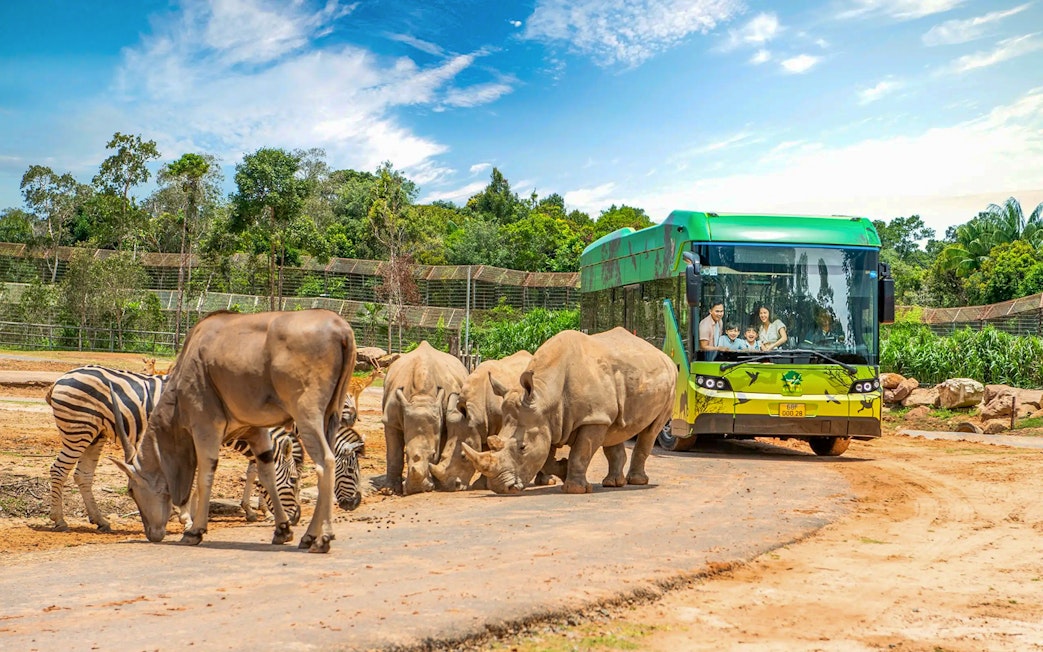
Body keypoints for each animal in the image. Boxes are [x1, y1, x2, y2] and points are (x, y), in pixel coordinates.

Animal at [45, 366, 299, 532]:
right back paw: (59, 520)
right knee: (59, 470)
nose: (295, 519)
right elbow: (196, 482)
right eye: (295, 480)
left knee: (83, 475)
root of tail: (62, 378)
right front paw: (188, 518)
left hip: (95, 433)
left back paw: (100, 521)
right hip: (79, 429)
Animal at [381, 341, 468, 495]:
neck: (421, 396)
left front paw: (438, 485)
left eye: (433, 455)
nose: (417, 489)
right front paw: (390, 490)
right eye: (406, 454)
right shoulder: (390, 421)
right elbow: (394, 454)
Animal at [431, 350, 534, 491]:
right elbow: (485, 449)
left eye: (464, 457)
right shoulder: (480, 428)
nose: (450, 487)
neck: (474, 414)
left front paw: (482, 485)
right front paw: (481, 484)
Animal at [462, 328, 676, 494]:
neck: (545, 395)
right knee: (615, 429)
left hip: (672, 381)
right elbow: (547, 457)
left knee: (651, 430)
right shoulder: (546, 420)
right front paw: (564, 470)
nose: (499, 488)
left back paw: (637, 482)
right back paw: (613, 483)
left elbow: (581, 452)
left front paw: (575, 489)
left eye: (522, 448)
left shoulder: (591, 419)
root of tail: (663, 354)